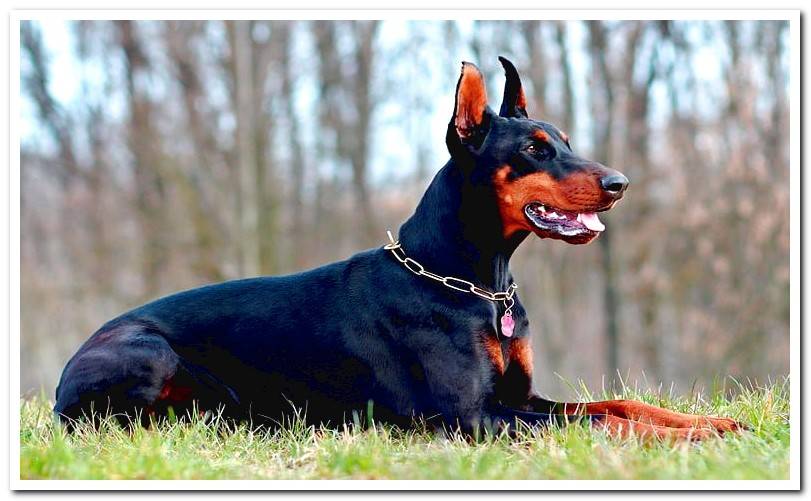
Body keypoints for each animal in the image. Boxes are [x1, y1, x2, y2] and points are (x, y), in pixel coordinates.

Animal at [54, 58, 744, 440]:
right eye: (534, 149)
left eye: (567, 141)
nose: (620, 183)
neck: (473, 283)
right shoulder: (473, 417)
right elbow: (606, 421)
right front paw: (689, 441)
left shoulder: (519, 400)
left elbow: (621, 404)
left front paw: (714, 424)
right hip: (149, 353)